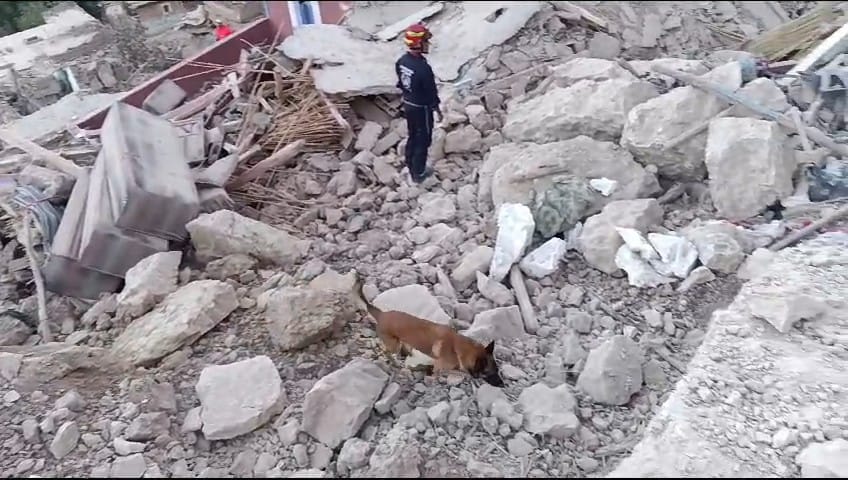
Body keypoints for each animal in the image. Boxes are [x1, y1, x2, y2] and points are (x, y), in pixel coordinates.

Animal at [352, 274, 504, 386]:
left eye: (497, 370)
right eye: (491, 374)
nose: (503, 384)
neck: (458, 347)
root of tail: (382, 314)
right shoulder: (440, 366)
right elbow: (441, 373)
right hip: (393, 345)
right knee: (386, 351)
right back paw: (395, 362)